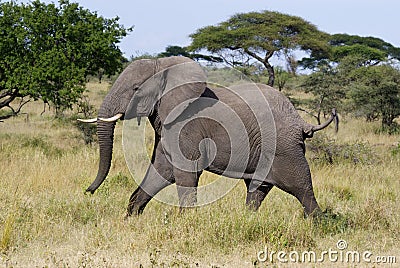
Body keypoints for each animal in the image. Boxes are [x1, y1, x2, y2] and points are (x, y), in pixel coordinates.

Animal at [79, 56, 340, 218]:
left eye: (135, 89)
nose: (87, 191)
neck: (164, 67)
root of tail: (302, 121)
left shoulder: (187, 125)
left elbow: (185, 172)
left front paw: (185, 224)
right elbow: (161, 171)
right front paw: (130, 218)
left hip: (284, 147)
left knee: (302, 188)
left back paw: (319, 224)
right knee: (257, 189)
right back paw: (247, 221)